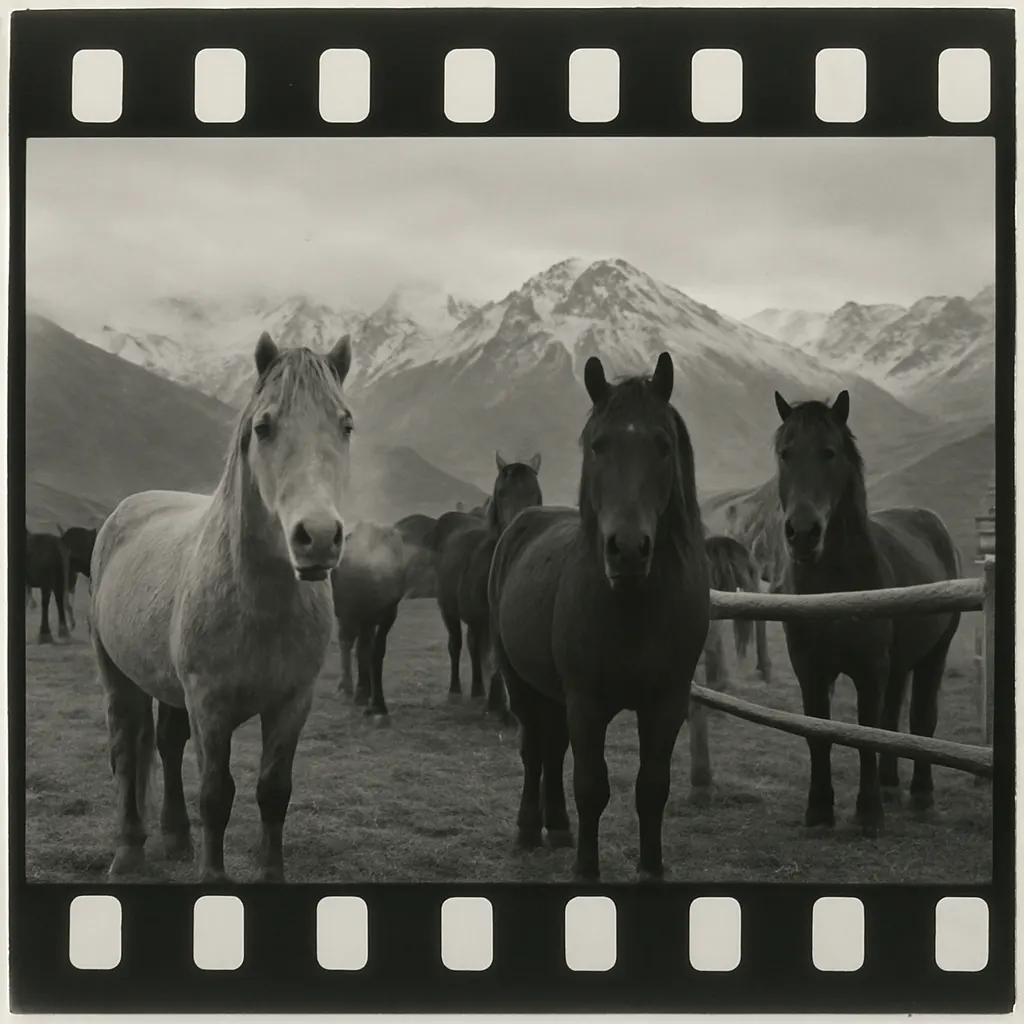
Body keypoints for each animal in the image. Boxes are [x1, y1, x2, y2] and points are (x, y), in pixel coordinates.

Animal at [90, 332, 355, 883]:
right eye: (264, 426)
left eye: (345, 425)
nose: (319, 537)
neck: (261, 605)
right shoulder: (209, 706)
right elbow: (216, 794)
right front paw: (213, 878)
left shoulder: (291, 703)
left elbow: (274, 792)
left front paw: (271, 874)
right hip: (119, 678)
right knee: (126, 752)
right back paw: (128, 851)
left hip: (170, 690)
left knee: (167, 745)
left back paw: (175, 837)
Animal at [431, 453, 543, 715]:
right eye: (501, 492)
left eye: (535, 492)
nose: (520, 526)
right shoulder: (481, 620)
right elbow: (487, 656)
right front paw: (497, 703)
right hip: (449, 610)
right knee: (459, 645)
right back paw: (462, 692)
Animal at [488, 352, 710, 881]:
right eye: (598, 444)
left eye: (663, 445)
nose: (627, 549)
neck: (635, 609)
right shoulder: (587, 702)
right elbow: (591, 786)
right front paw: (587, 872)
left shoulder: (666, 703)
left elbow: (652, 787)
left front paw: (651, 869)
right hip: (519, 678)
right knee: (534, 749)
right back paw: (529, 830)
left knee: (552, 749)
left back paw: (557, 827)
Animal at [772, 389, 962, 835]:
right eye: (785, 453)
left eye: (830, 453)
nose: (802, 533)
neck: (834, 588)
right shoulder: (810, 669)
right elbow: (819, 732)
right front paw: (820, 810)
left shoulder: (869, 667)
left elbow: (866, 733)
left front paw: (869, 812)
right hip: (898, 665)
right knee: (893, 718)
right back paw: (891, 786)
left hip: (934, 655)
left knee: (921, 719)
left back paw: (919, 795)